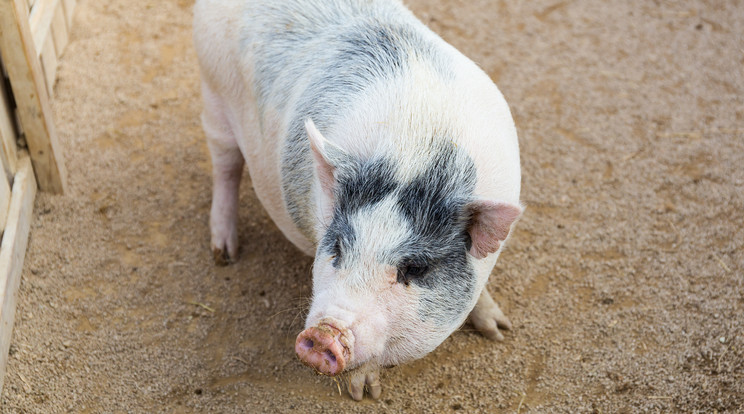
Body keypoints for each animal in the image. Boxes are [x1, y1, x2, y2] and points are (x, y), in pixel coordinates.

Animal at [195, 0, 528, 402]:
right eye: (337, 247)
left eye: (415, 268)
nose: (323, 334)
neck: (418, 155)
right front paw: (364, 394)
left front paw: (499, 331)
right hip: (213, 95)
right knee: (225, 166)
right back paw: (224, 255)